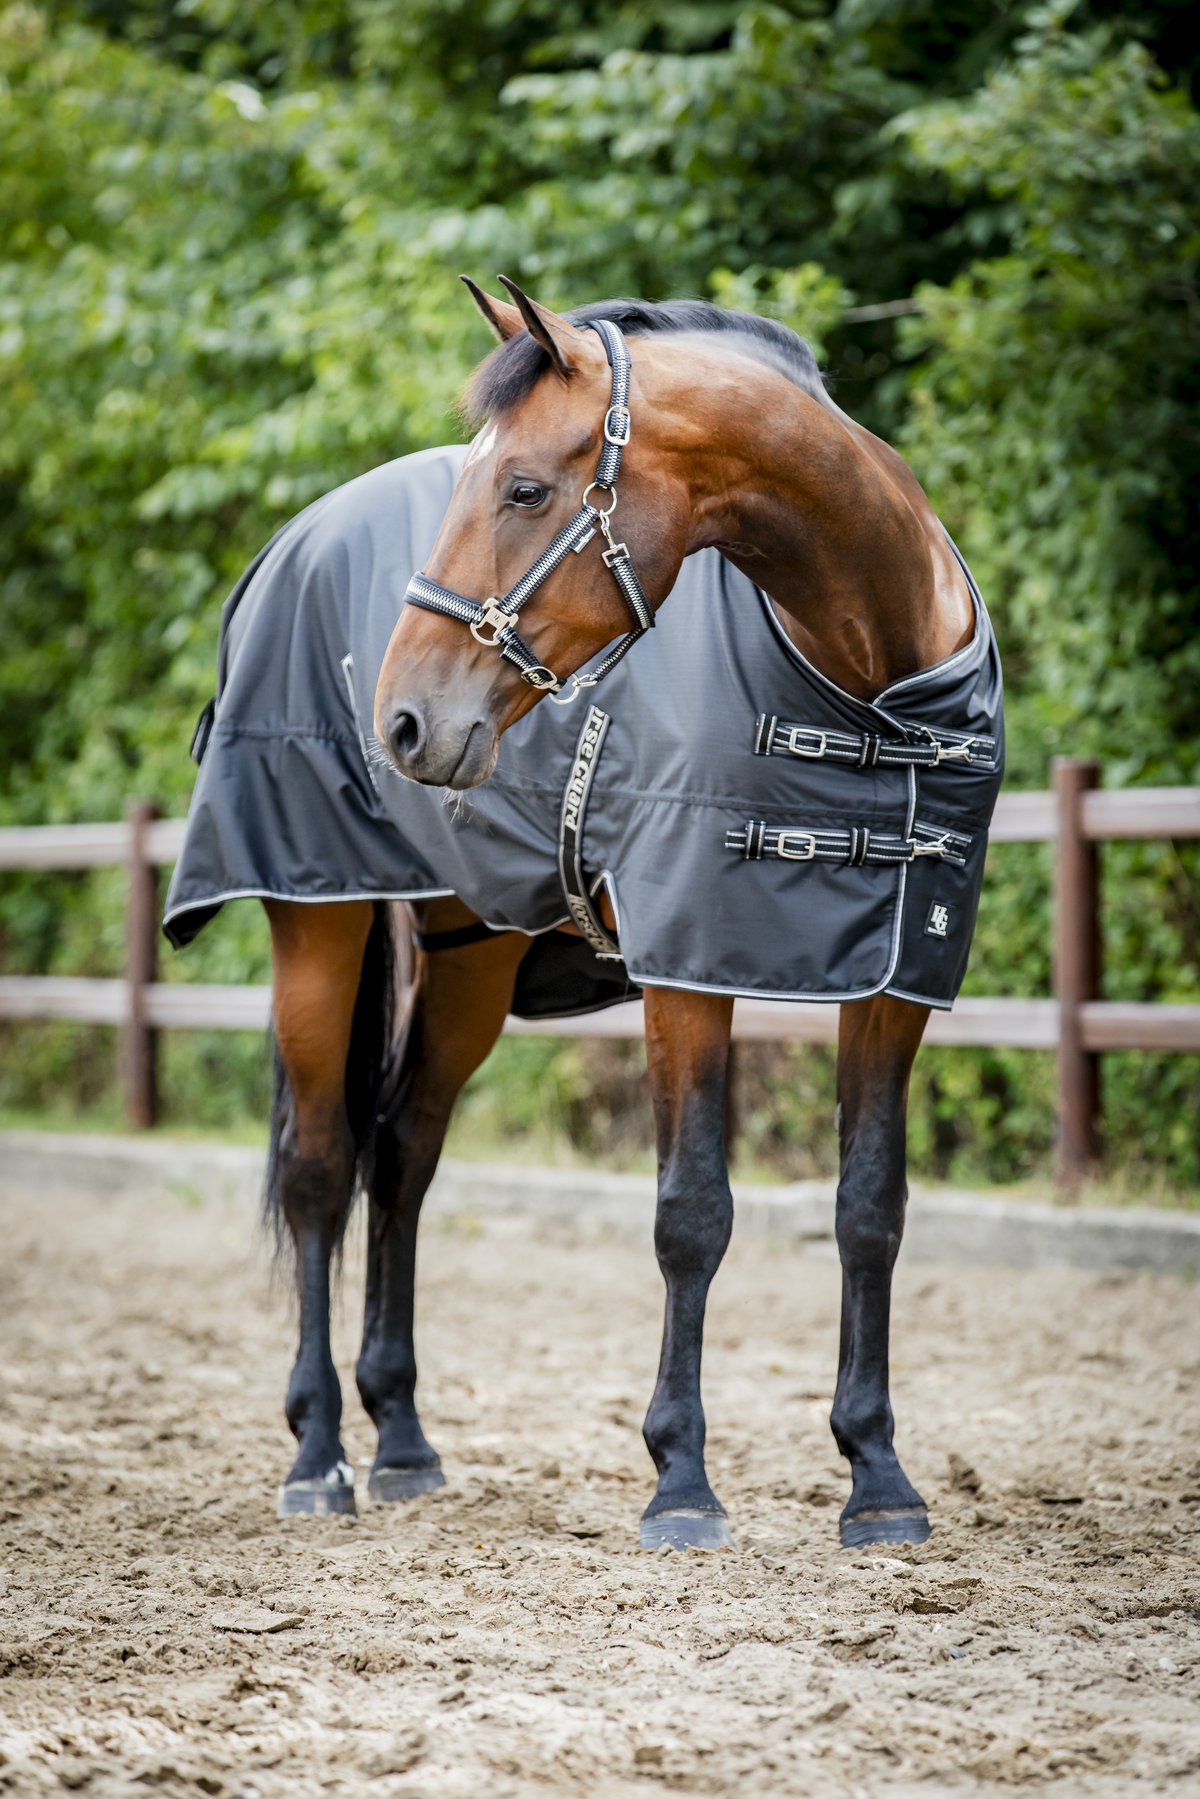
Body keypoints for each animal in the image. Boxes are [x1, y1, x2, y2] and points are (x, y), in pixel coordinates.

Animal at [199, 279, 1000, 1552]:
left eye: (525, 488)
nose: (404, 719)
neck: (871, 680)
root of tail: (294, 538)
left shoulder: (892, 982)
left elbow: (871, 1209)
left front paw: (879, 1476)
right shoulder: (689, 968)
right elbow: (692, 1213)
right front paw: (681, 1482)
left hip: (468, 960)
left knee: (402, 1157)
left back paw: (404, 1438)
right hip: (316, 926)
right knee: (319, 1167)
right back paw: (320, 1453)